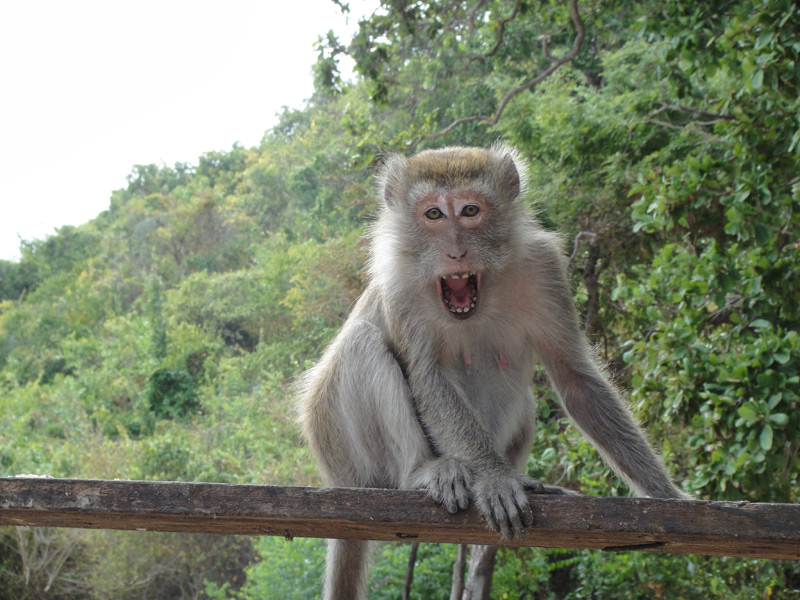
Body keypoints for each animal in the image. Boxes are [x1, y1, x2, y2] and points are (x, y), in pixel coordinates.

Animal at [296, 143, 684, 596]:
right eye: (433, 214)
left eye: (469, 211)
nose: (456, 251)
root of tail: (334, 473)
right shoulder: (399, 285)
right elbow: (427, 378)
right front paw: (495, 477)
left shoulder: (543, 267)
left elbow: (575, 377)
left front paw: (667, 495)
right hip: (348, 451)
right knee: (362, 343)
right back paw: (423, 472)